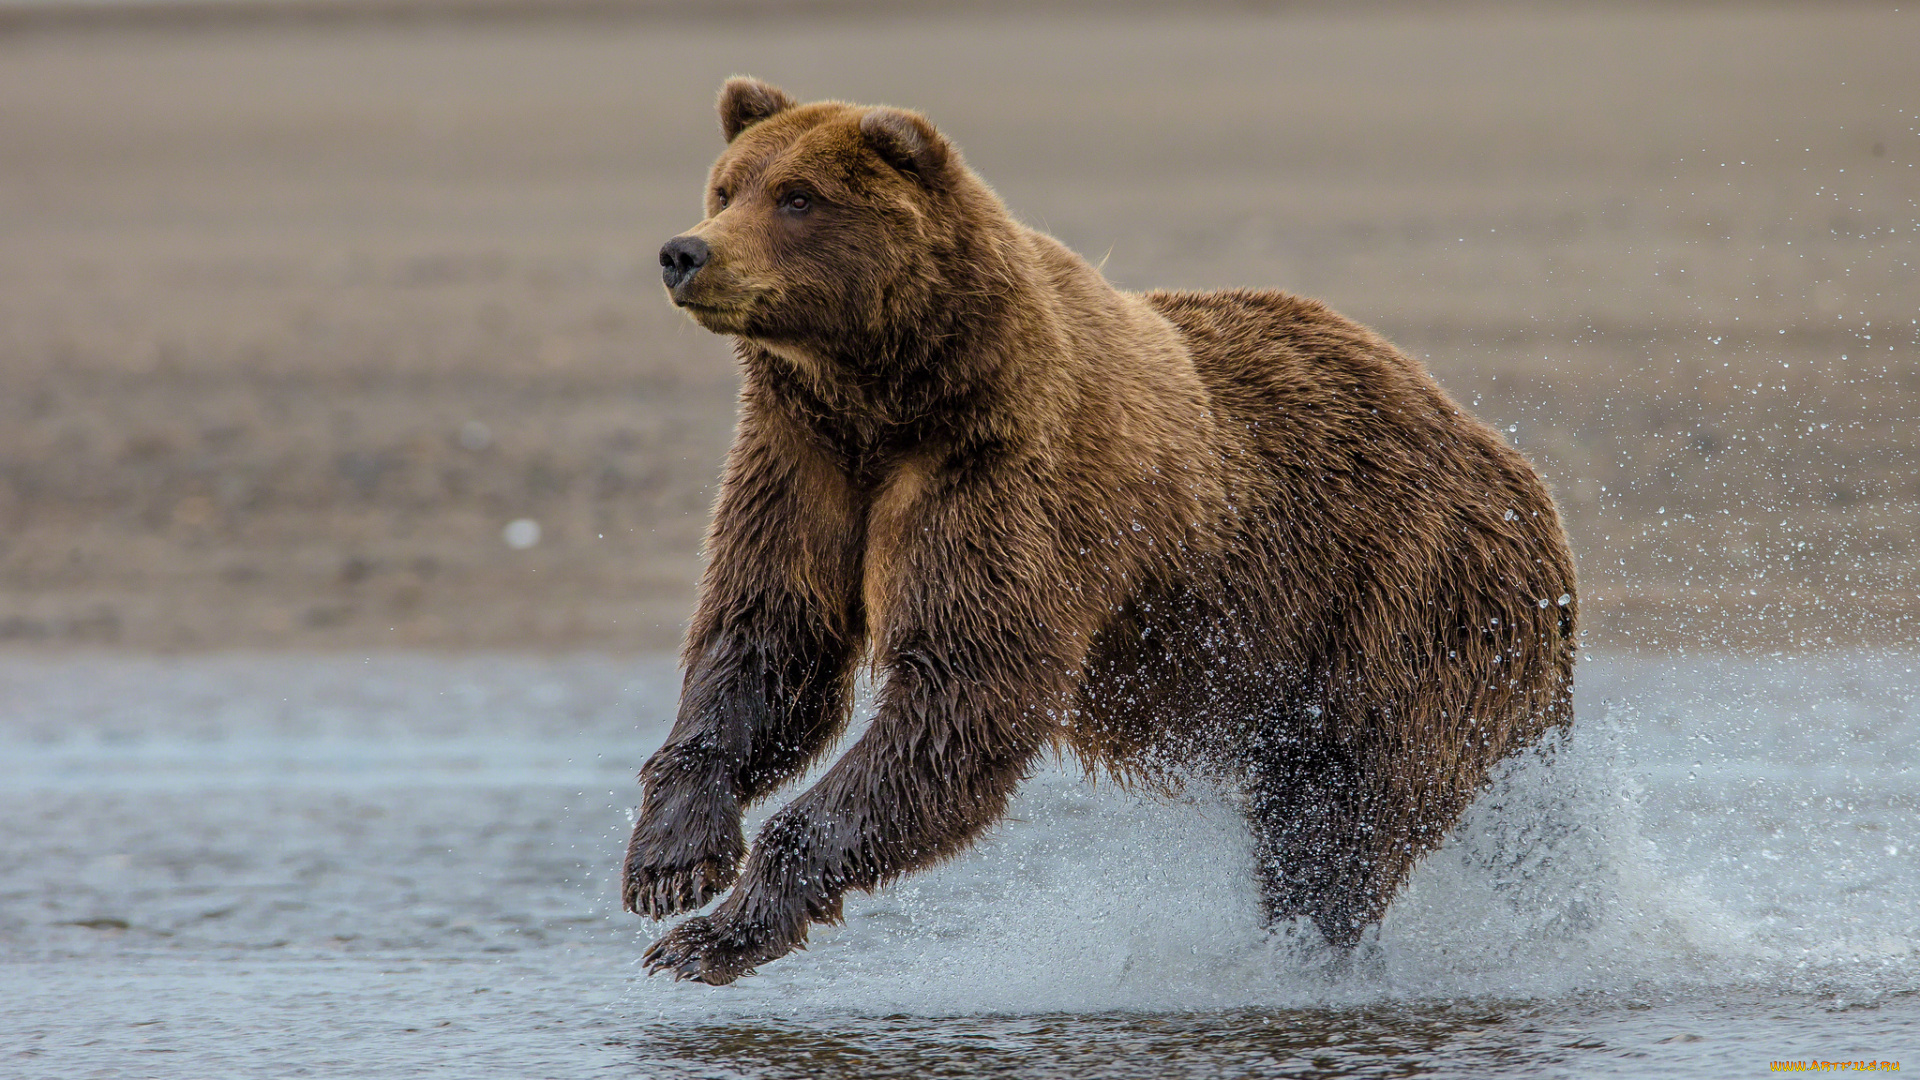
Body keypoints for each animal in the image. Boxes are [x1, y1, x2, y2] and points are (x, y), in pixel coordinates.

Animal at [622, 77, 1582, 983]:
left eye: (798, 197)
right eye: (726, 186)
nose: (684, 252)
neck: (884, 398)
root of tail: (1521, 479)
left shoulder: (1001, 476)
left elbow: (961, 690)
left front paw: (710, 937)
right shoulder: (801, 465)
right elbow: (767, 645)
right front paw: (670, 862)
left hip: (1405, 607)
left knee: (1341, 819)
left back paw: (1303, 953)